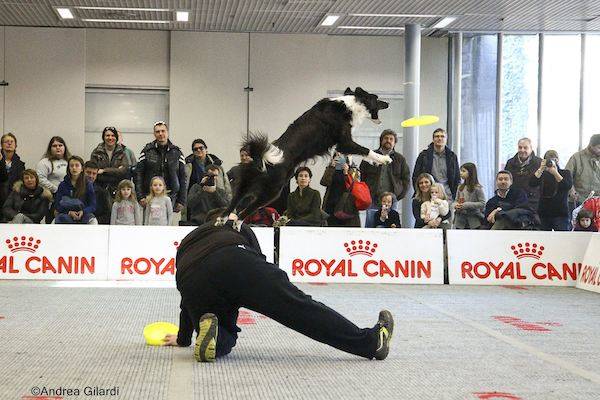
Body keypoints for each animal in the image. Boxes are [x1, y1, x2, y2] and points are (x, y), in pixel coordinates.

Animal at [223, 87, 392, 222]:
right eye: (376, 98)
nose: (388, 104)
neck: (350, 104)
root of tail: (261, 159)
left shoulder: (343, 144)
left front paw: (351, 162)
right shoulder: (345, 141)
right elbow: (366, 150)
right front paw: (384, 159)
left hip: (247, 184)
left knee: (234, 202)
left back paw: (222, 220)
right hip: (272, 189)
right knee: (244, 213)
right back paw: (237, 224)